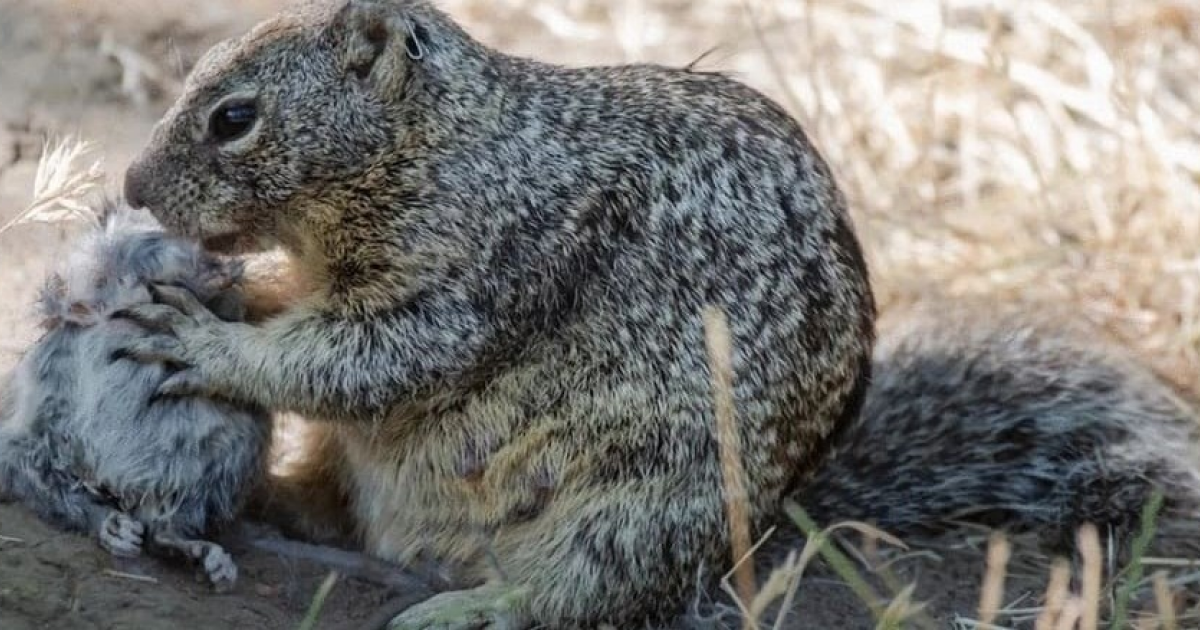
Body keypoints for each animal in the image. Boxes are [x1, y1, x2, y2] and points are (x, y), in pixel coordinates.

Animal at [0, 201, 272, 590]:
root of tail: (127, 487)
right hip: (28, 446)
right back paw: (114, 528)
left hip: (231, 452)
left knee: (163, 530)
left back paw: (200, 555)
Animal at [112, 2, 1200, 624]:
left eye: (234, 117)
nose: (128, 185)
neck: (451, 146)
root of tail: (768, 526)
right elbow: (304, 318)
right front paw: (231, 290)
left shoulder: (473, 278)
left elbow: (356, 362)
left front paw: (203, 338)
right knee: (334, 506)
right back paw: (275, 499)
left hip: (635, 510)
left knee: (583, 597)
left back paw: (473, 607)